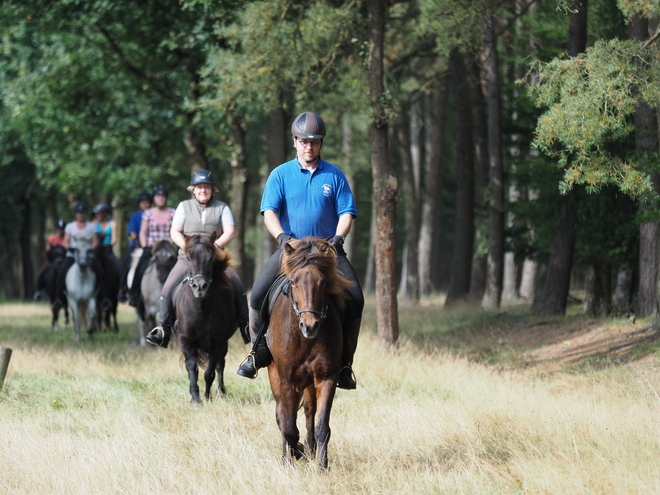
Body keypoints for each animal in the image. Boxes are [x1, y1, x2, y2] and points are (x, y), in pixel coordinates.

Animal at [174, 234, 238, 408]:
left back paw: (221, 391)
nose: (200, 286)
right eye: (188, 257)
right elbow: (192, 367)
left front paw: (207, 396)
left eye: (210, 258)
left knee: (220, 365)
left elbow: (210, 372)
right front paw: (195, 399)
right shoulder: (185, 340)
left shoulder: (218, 342)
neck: (201, 310)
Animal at [266, 236, 354, 468]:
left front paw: (322, 466)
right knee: (282, 414)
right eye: (293, 281)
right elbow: (288, 425)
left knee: (308, 411)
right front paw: (291, 458)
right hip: (276, 375)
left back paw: (310, 448)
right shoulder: (287, 380)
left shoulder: (326, 377)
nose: (310, 326)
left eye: (323, 281)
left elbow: (322, 426)